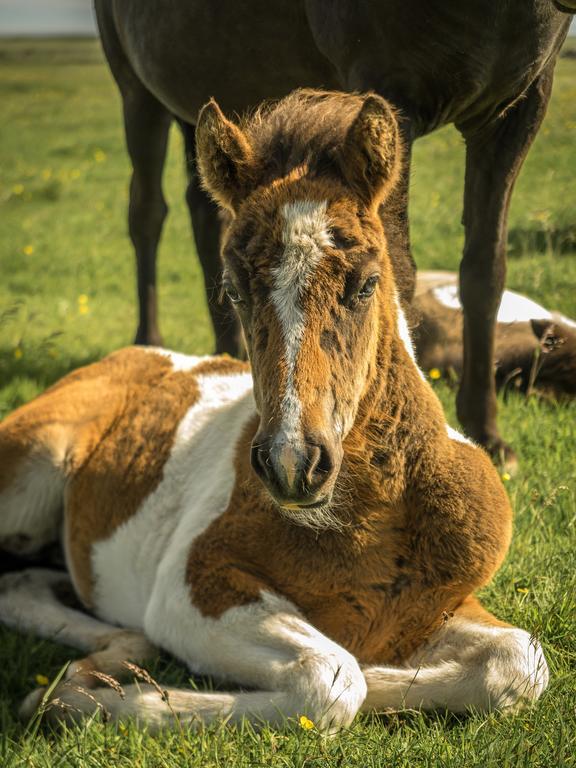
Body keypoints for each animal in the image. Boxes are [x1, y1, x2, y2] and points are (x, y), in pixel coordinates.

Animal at [93, 0, 572, 462]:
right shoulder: (391, 96)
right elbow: (403, 269)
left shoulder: (518, 111)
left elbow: (483, 273)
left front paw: (486, 433)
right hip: (138, 95)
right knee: (147, 214)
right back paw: (149, 343)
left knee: (206, 213)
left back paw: (228, 354)